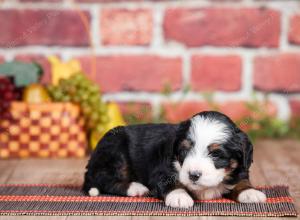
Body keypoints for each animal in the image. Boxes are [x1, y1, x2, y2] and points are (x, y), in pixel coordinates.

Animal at [83, 111, 266, 209]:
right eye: (184, 150)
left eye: (216, 154)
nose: (193, 175)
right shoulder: (161, 170)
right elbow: (172, 183)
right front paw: (179, 196)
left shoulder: (240, 167)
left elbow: (242, 180)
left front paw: (250, 192)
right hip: (116, 151)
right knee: (105, 179)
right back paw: (136, 188)